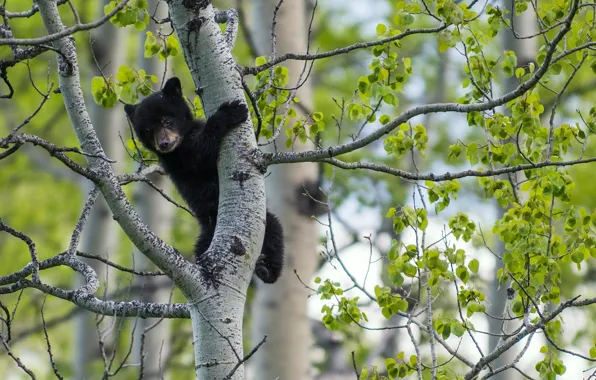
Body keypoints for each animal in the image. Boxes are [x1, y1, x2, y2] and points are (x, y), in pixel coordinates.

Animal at [123, 77, 284, 284]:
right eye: (148, 130)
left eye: (167, 120)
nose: (164, 144)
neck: (182, 140)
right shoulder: (180, 159)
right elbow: (203, 152)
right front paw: (230, 111)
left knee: (275, 234)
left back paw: (267, 270)